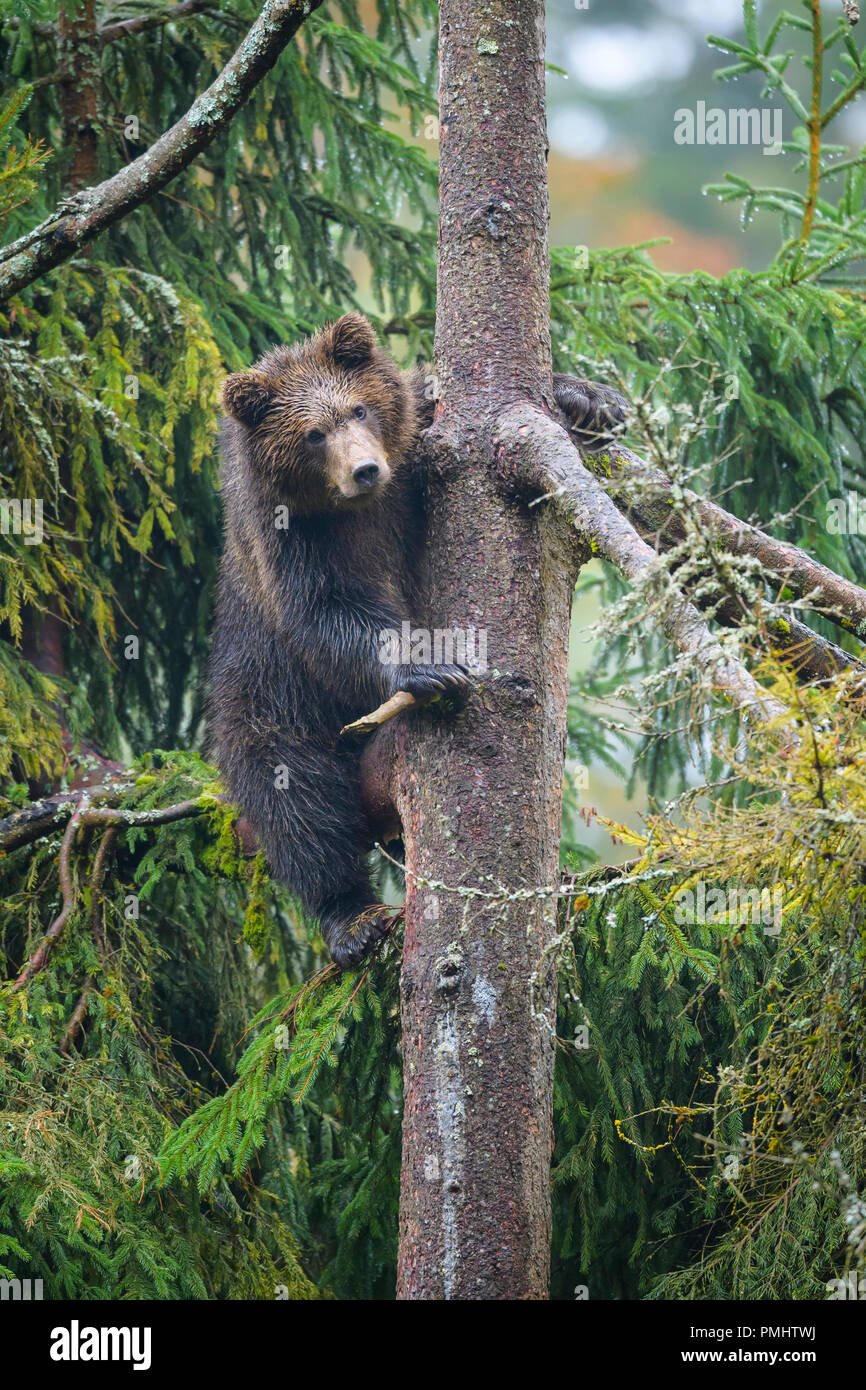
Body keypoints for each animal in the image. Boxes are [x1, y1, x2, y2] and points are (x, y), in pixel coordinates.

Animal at [208, 313, 626, 969]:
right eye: (312, 434)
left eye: (358, 409)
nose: (365, 469)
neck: (356, 510)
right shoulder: (290, 543)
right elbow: (330, 616)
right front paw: (432, 669)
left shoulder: (415, 447)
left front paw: (590, 398)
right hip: (261, 695)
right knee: (294, 798)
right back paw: (351, 917)